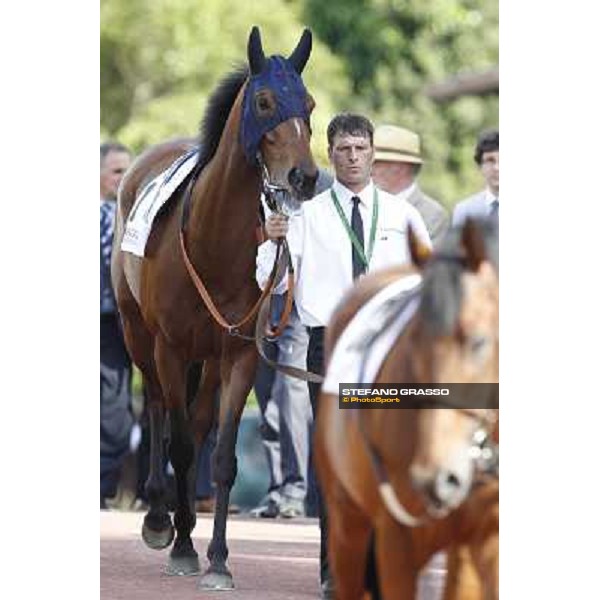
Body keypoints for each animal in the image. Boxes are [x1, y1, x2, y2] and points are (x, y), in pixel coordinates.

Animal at [112, 28, 318, 592]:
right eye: (265, 101)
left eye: (310, 105)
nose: (306, 177)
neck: (213, 241)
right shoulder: (170, 346)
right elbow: (180, 445)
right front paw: (182, 547)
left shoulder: (241, 352)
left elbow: (222, 456)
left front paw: (220, 559)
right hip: (139, 335)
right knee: (158, 408)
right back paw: (160, 517)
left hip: (208, 356)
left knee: (198, 424)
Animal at [316, 221, 500, 600]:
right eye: (412, 341)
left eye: (478, 342)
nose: (436, 477)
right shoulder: (395, 538)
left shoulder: (488, 534)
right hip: (347, 521)